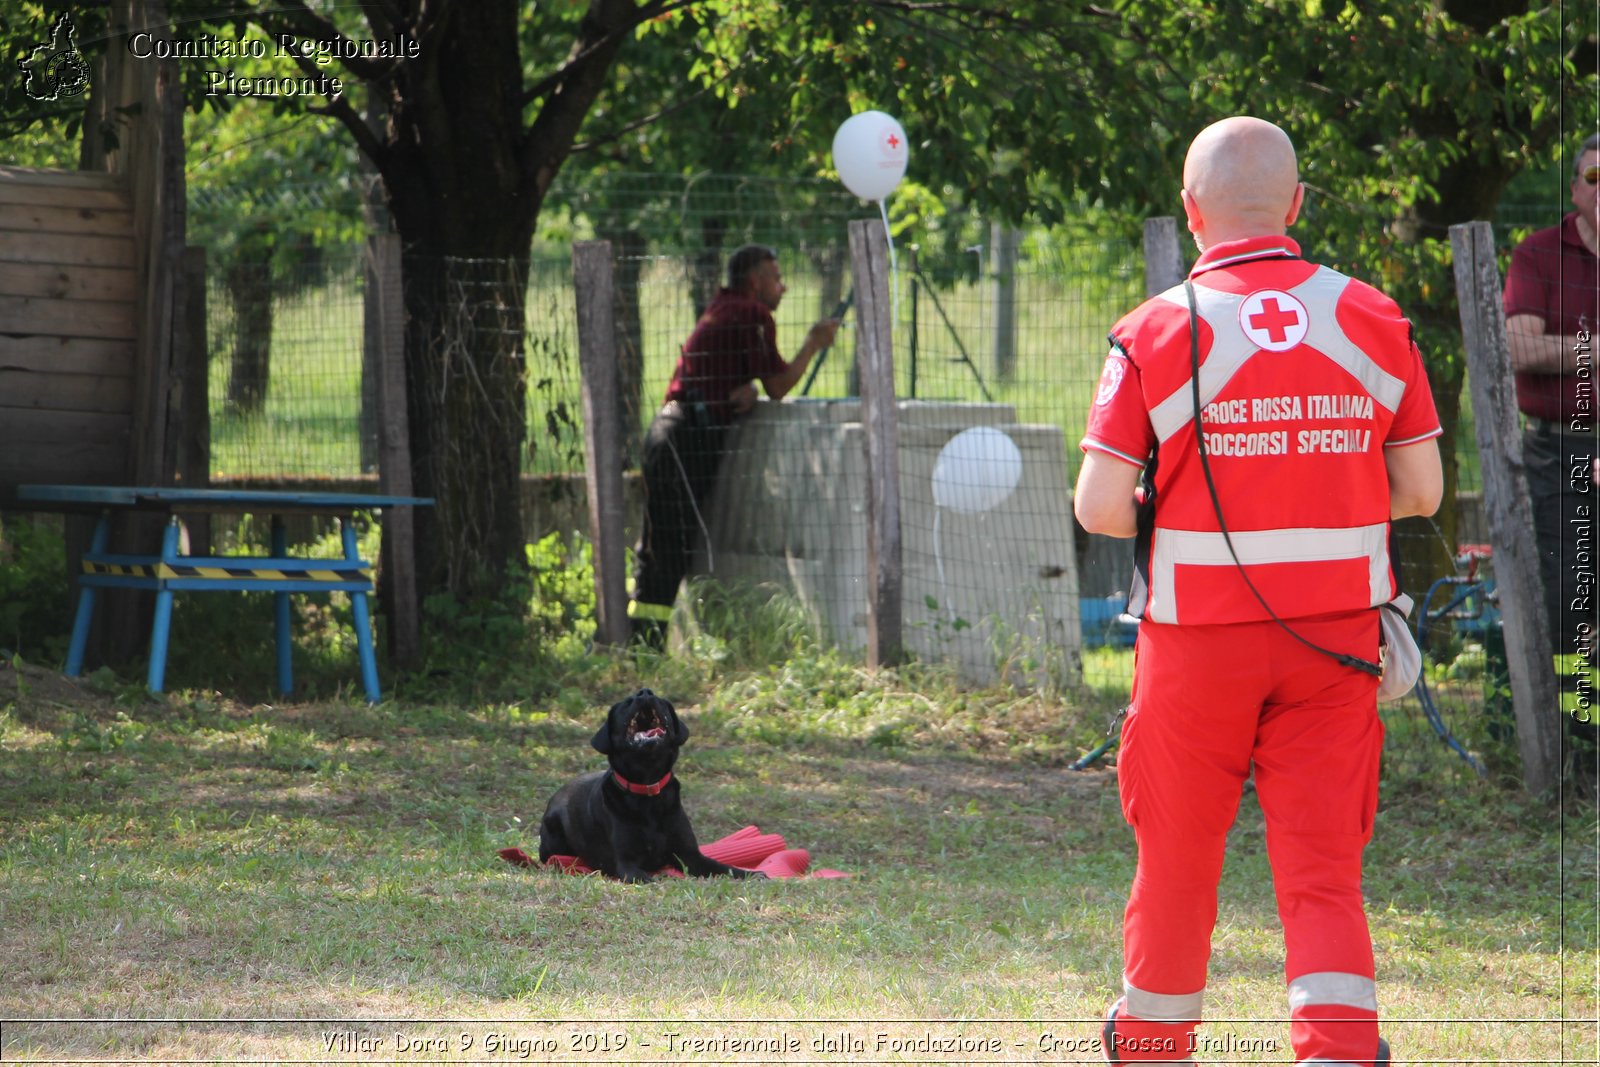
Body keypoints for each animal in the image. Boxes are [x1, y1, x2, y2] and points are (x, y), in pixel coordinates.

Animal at [537, 687, 755, 883]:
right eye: (626, 703)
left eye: (660, 700)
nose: (645, 692)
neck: (648, 789)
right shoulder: (625, 863)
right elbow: (643, 877)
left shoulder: (690, 855)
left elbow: (724, 868)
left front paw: (750, 874)